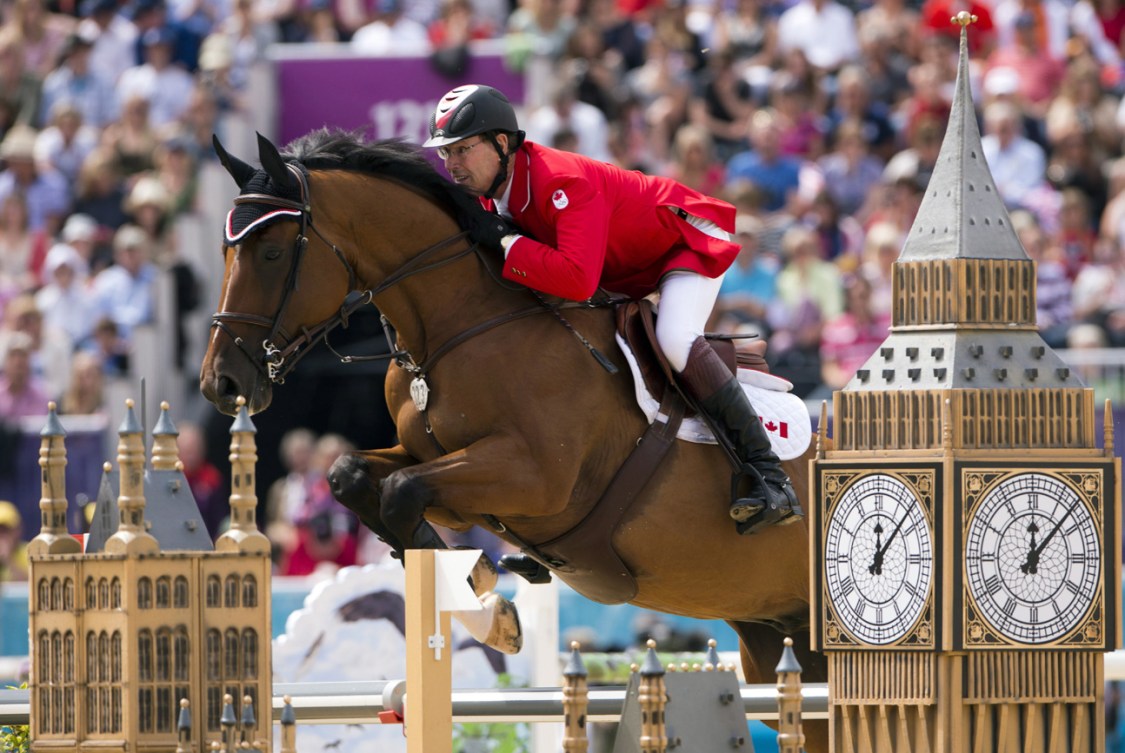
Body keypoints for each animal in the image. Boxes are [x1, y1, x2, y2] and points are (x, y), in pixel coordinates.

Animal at [198, 129, 828, 747]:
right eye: (226, 252)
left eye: (273, 252)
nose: (219, 383)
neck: (456, 326)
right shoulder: (437, 468)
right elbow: (352, 475)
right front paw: (479, 581)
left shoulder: (534, 479)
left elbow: (402, 492)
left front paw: (486, 601)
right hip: (779, 640)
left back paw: (769, 491)